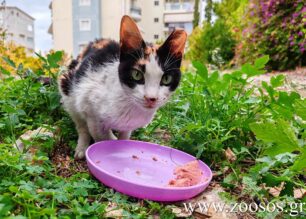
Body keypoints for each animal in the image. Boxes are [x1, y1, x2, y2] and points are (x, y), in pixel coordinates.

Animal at [58, 15, 185, 159]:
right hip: (68, 87)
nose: (151, 98)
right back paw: (81, 147)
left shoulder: (128, 125)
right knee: (80, 124)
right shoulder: (90, 109)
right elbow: (100, 136)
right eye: (136, 74)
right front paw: (109, 144)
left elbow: (124, 136)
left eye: (166, 78)